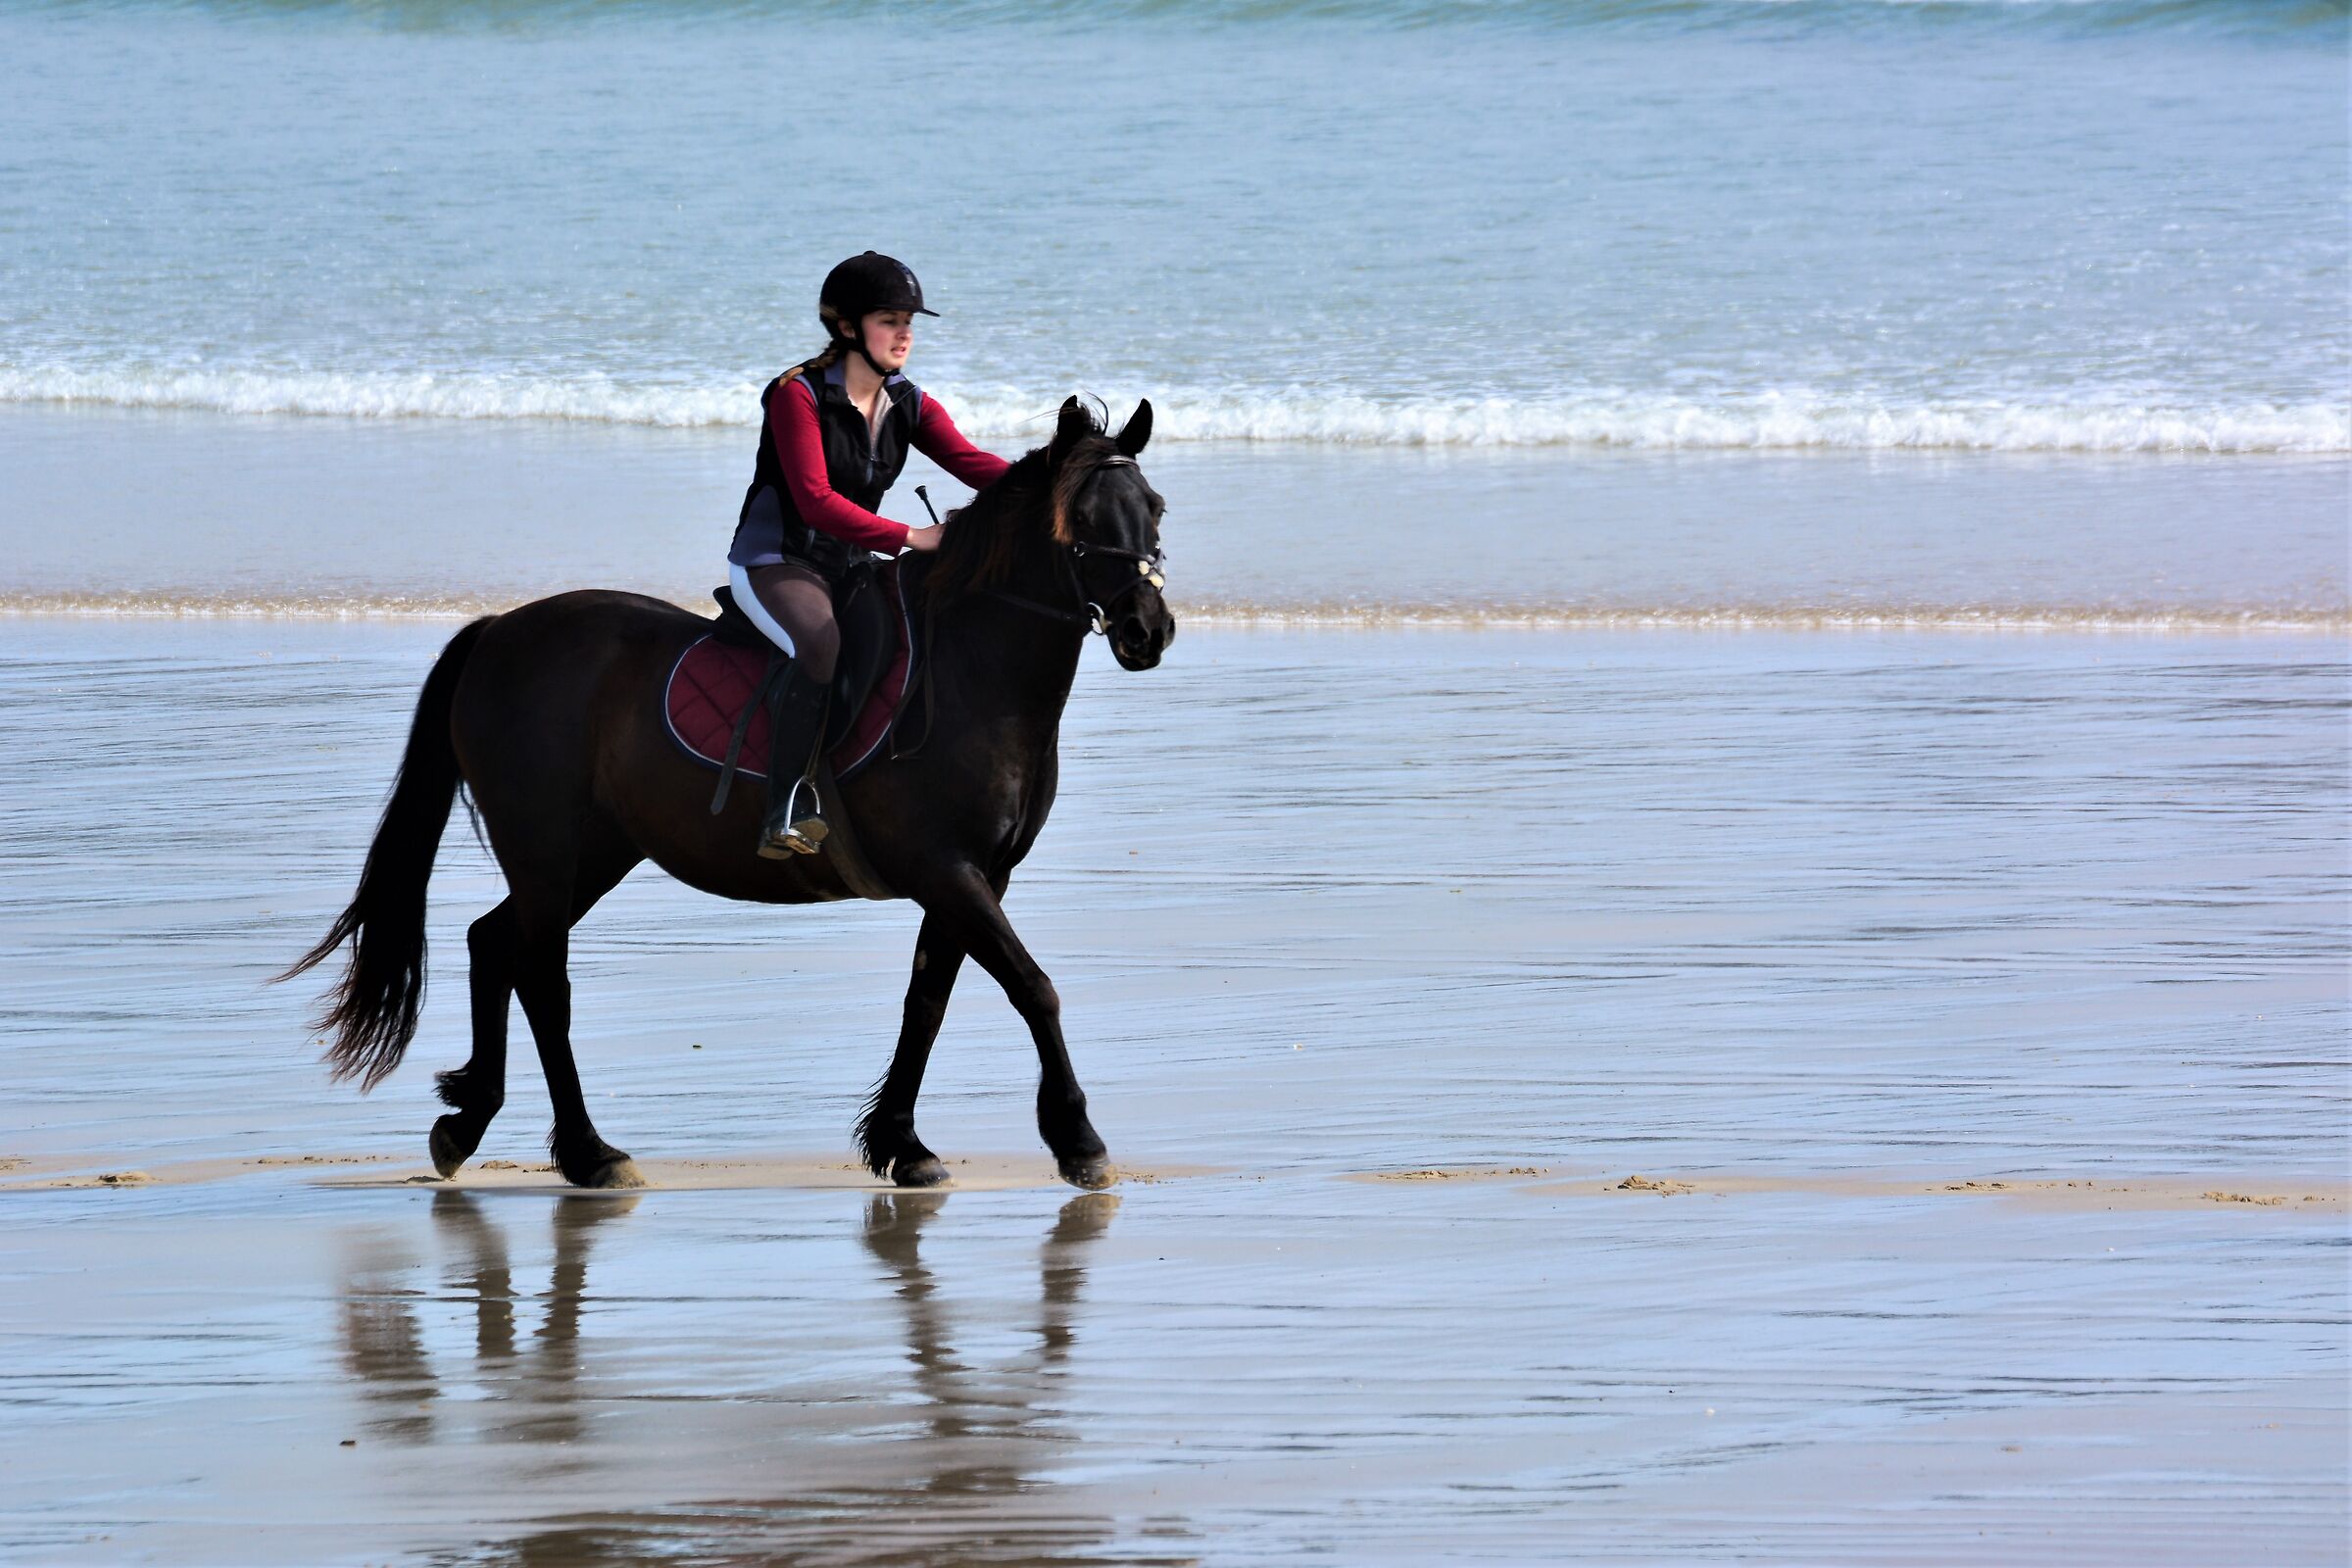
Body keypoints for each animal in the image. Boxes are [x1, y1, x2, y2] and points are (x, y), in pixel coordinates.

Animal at [282, 397, 1174, 1192]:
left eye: (1155, 508)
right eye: (1081, 519)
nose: (1148, 631)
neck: (970, 671)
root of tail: (498, 630)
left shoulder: (977, 877)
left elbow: (928, 1000)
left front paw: (901, 1143)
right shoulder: (946, 870)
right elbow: (1033, 987)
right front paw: (1079, 1140)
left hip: (592, 854)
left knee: (492, 942)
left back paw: (470, 1121)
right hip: (546, 850)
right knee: (540, 976)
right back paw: (589, 1154)